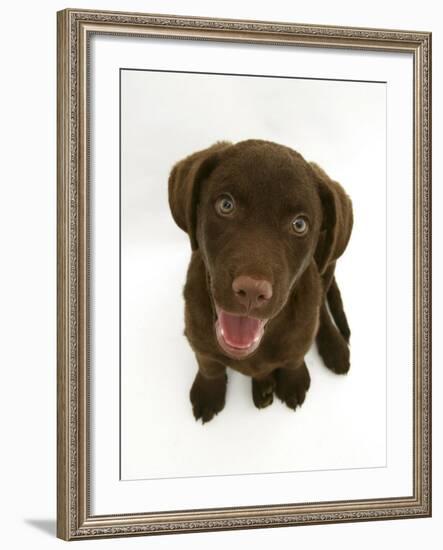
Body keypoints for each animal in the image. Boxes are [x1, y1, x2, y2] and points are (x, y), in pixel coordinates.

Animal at [169, 140, 354, 424]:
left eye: (299, 225)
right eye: (226, 205)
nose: (252, 291)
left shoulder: (299, 335)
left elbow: (294, 357)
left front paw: (293, 381)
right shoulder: (196, 335)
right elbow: (209, 363)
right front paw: (208, 392)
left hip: (328, 262)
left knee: (321, 304)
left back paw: (334, 347)